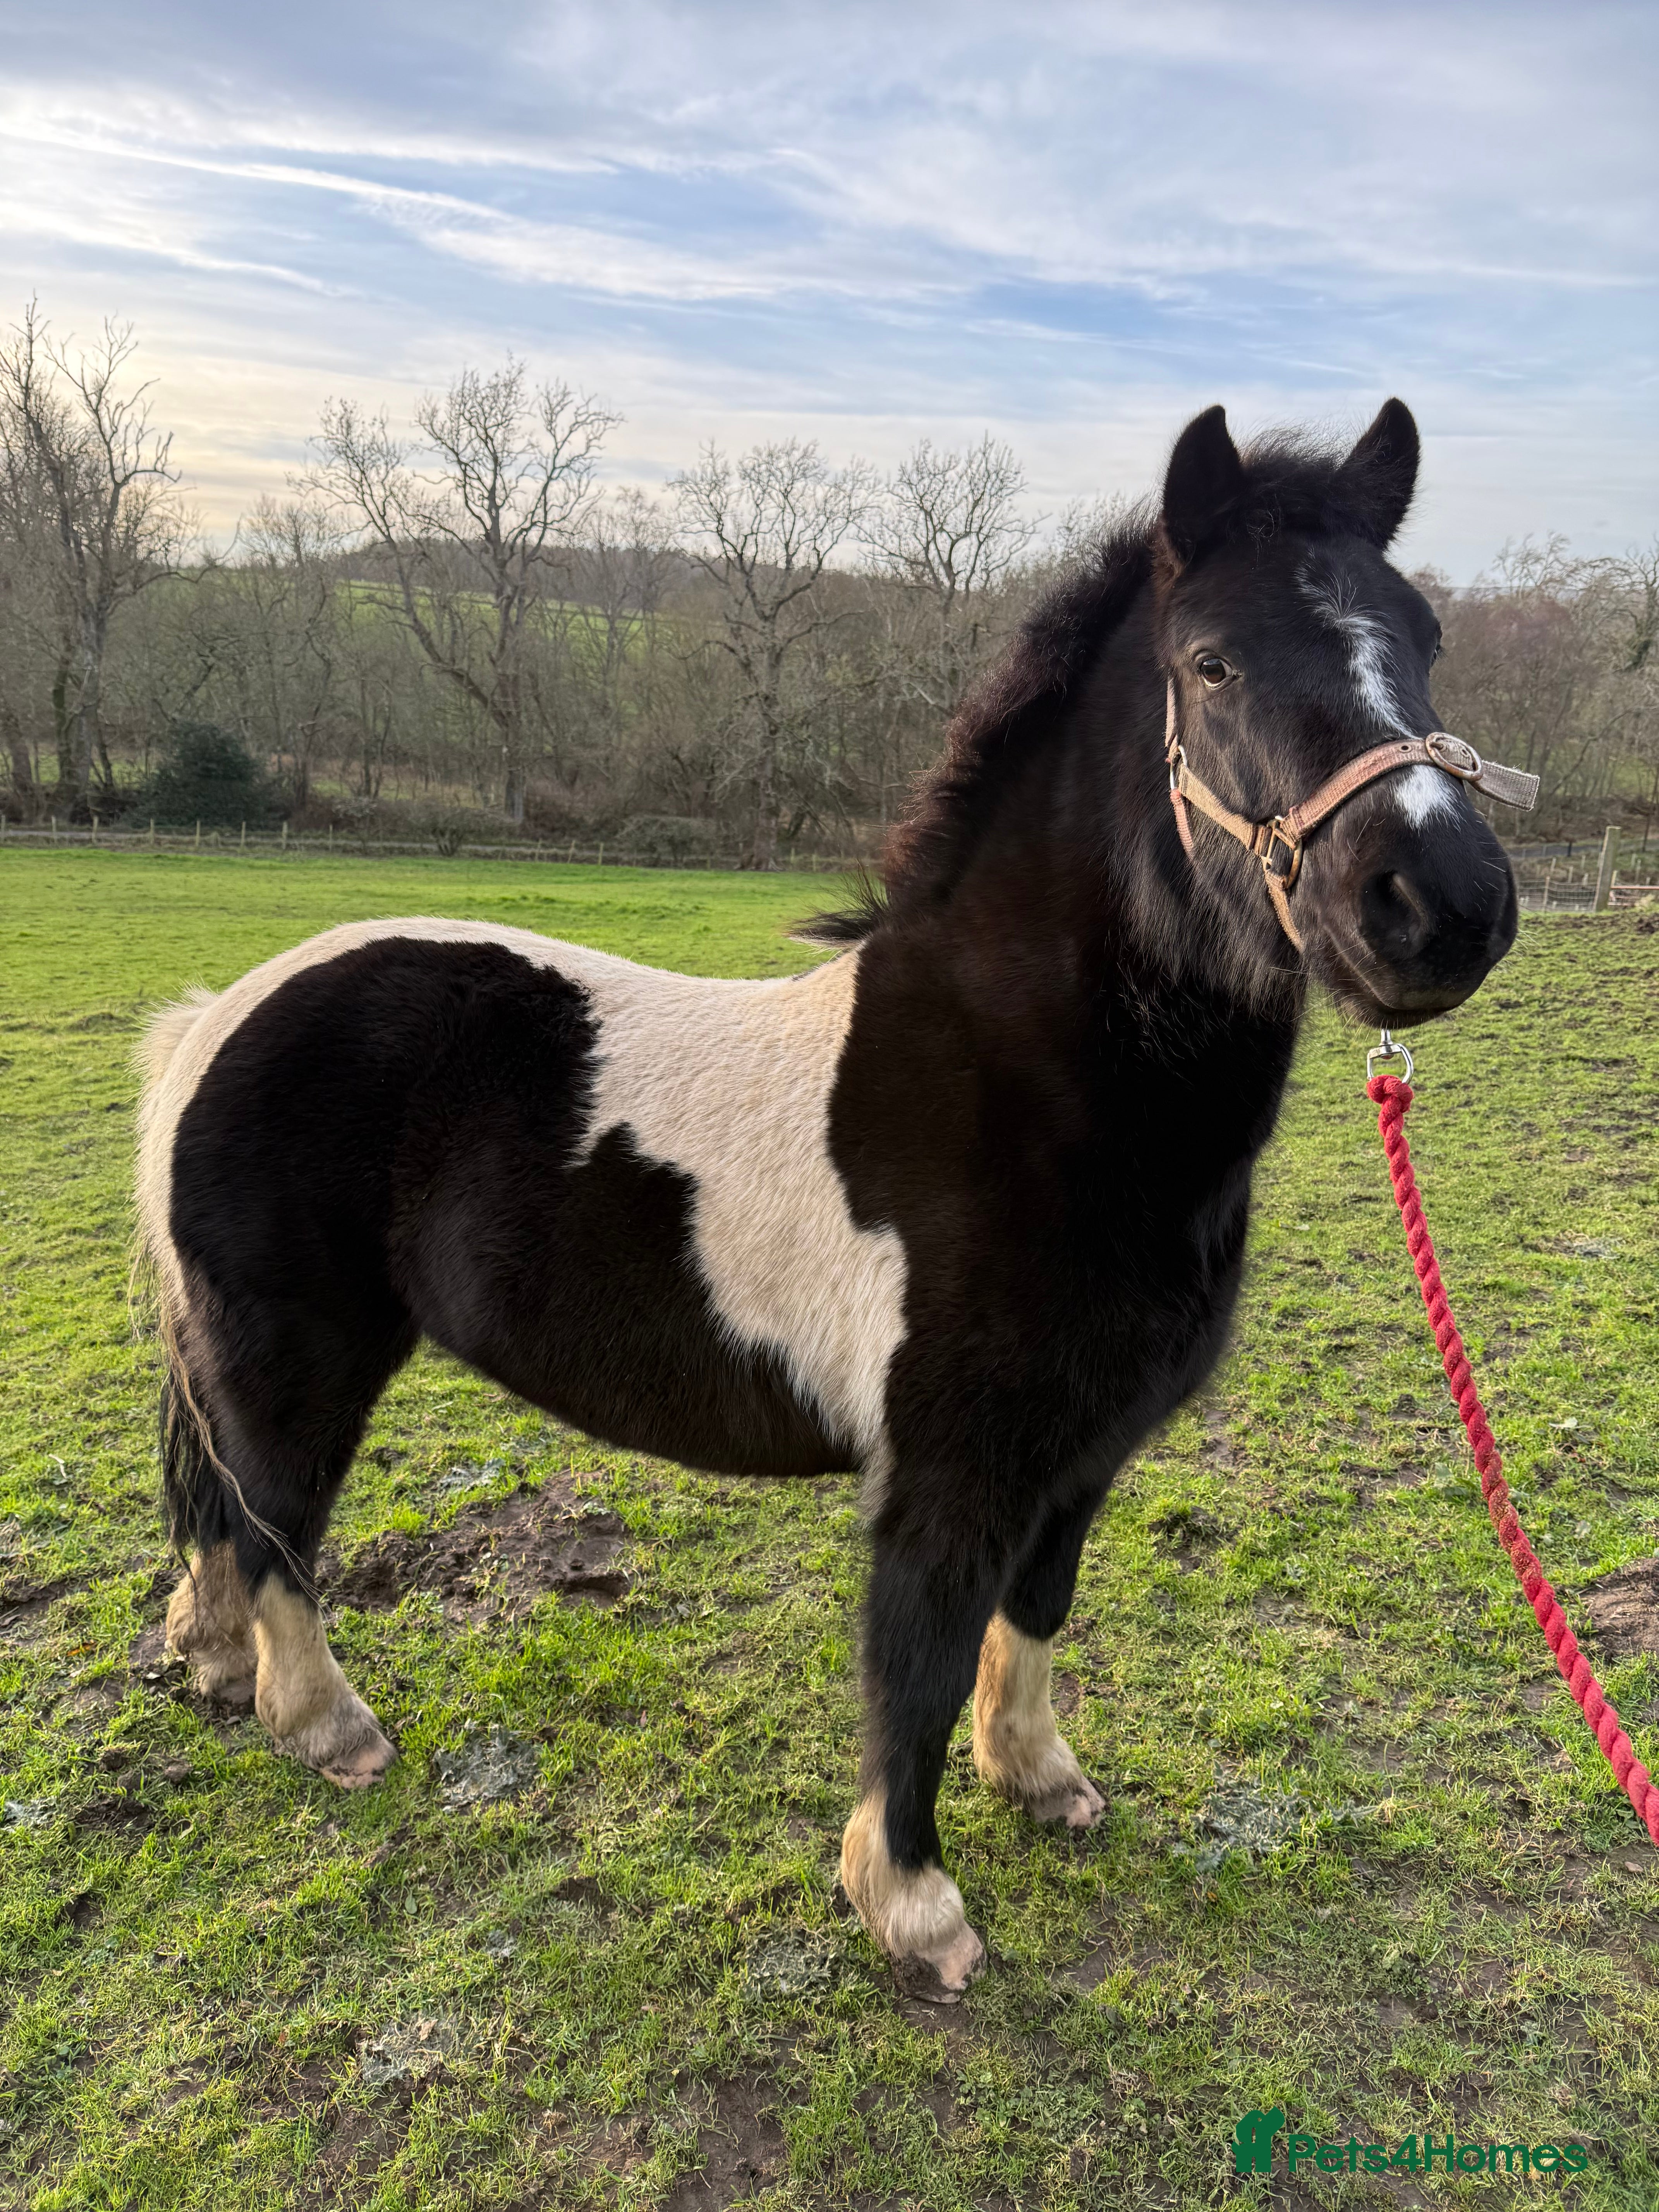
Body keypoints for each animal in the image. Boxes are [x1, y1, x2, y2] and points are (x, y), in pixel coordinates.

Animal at [136, 399, 1520, 1998]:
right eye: (1213, 662)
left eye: (1423, 639)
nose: (1439, 904)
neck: (1014, 1085)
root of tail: (214, 1018)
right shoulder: (943, 1471)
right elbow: (914, 1665)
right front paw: (912, 1908)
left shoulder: (1078, 1453)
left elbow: (1032, 1615)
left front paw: (1039, 1780)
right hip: (300, 1354)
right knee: (274, 1524)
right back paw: (327, 1728)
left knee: (219, 1513)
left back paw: (214, 1664)